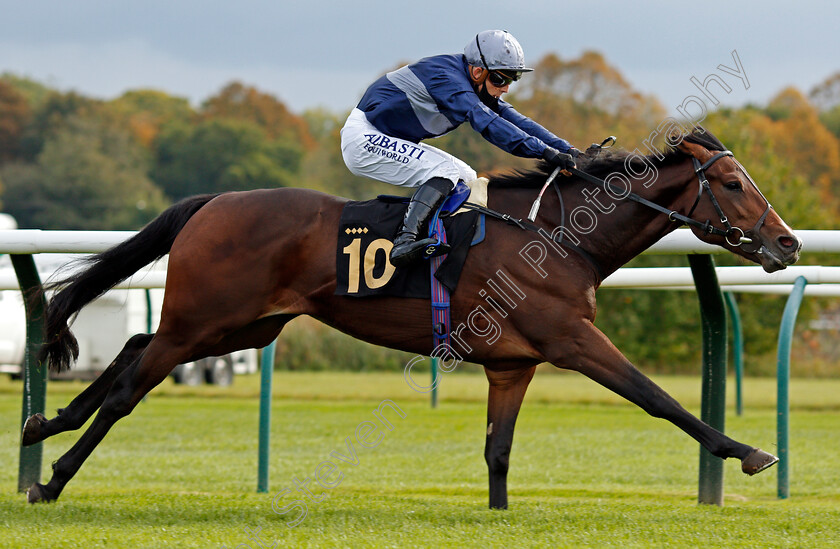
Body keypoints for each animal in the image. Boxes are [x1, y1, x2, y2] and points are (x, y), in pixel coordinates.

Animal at [23, 126, 800, 508]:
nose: (789, 242)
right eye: (733, 183)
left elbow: (497, 451)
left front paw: (499, 511)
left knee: (132, 342)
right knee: (129, 386)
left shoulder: (514, 363)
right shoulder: (572, 339)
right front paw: (750, 451)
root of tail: (213, 201)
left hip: (242, 324)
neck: (557, 235)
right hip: (206, 319)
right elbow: (658, 397)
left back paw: (42, 422)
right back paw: (51, 477)